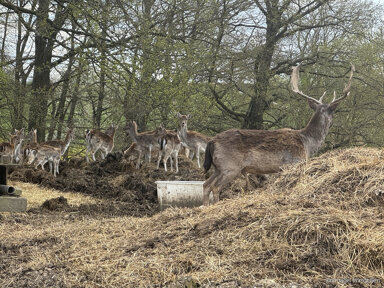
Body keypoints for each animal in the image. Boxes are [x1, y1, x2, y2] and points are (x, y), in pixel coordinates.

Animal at [202, 64, 356, 206]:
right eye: (333, 112)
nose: (332, 123)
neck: (307, 143)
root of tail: (212, 141)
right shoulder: (293, 162)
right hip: (230, 166)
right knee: (215, 186)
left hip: (218, 167)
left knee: (205, 184)